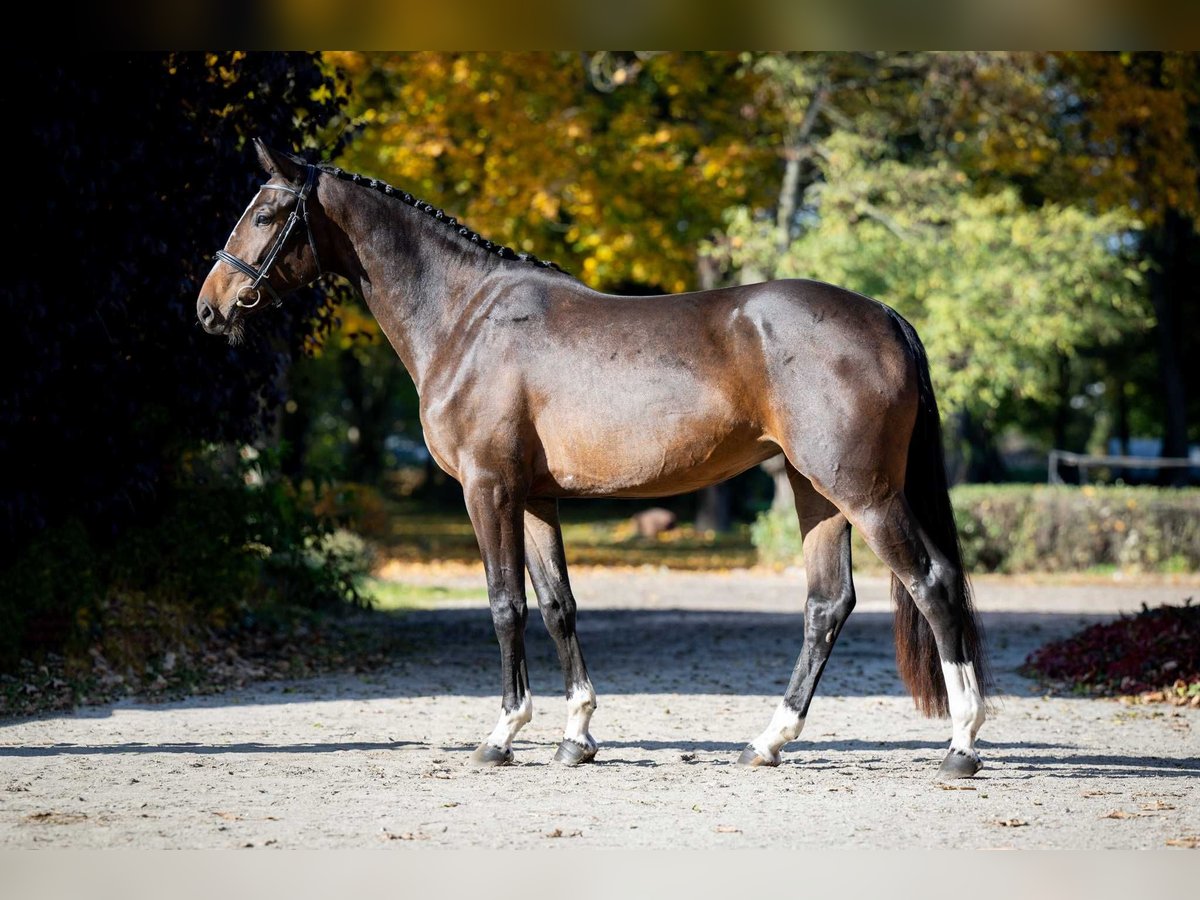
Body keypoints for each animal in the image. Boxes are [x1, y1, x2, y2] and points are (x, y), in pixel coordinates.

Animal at [196, 141, 988, 782]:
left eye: (266, 214)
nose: (209, 307)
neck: (465, 318)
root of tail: (884, 316)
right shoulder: (534, 496)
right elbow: (558, 607)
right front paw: (576, 737)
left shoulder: (487, 488)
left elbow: (506, 604)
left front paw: (502, 735)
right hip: (815, 491)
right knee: (827, 604)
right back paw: (767, 742)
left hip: (863, 493)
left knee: (933, 583)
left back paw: (961, 745)